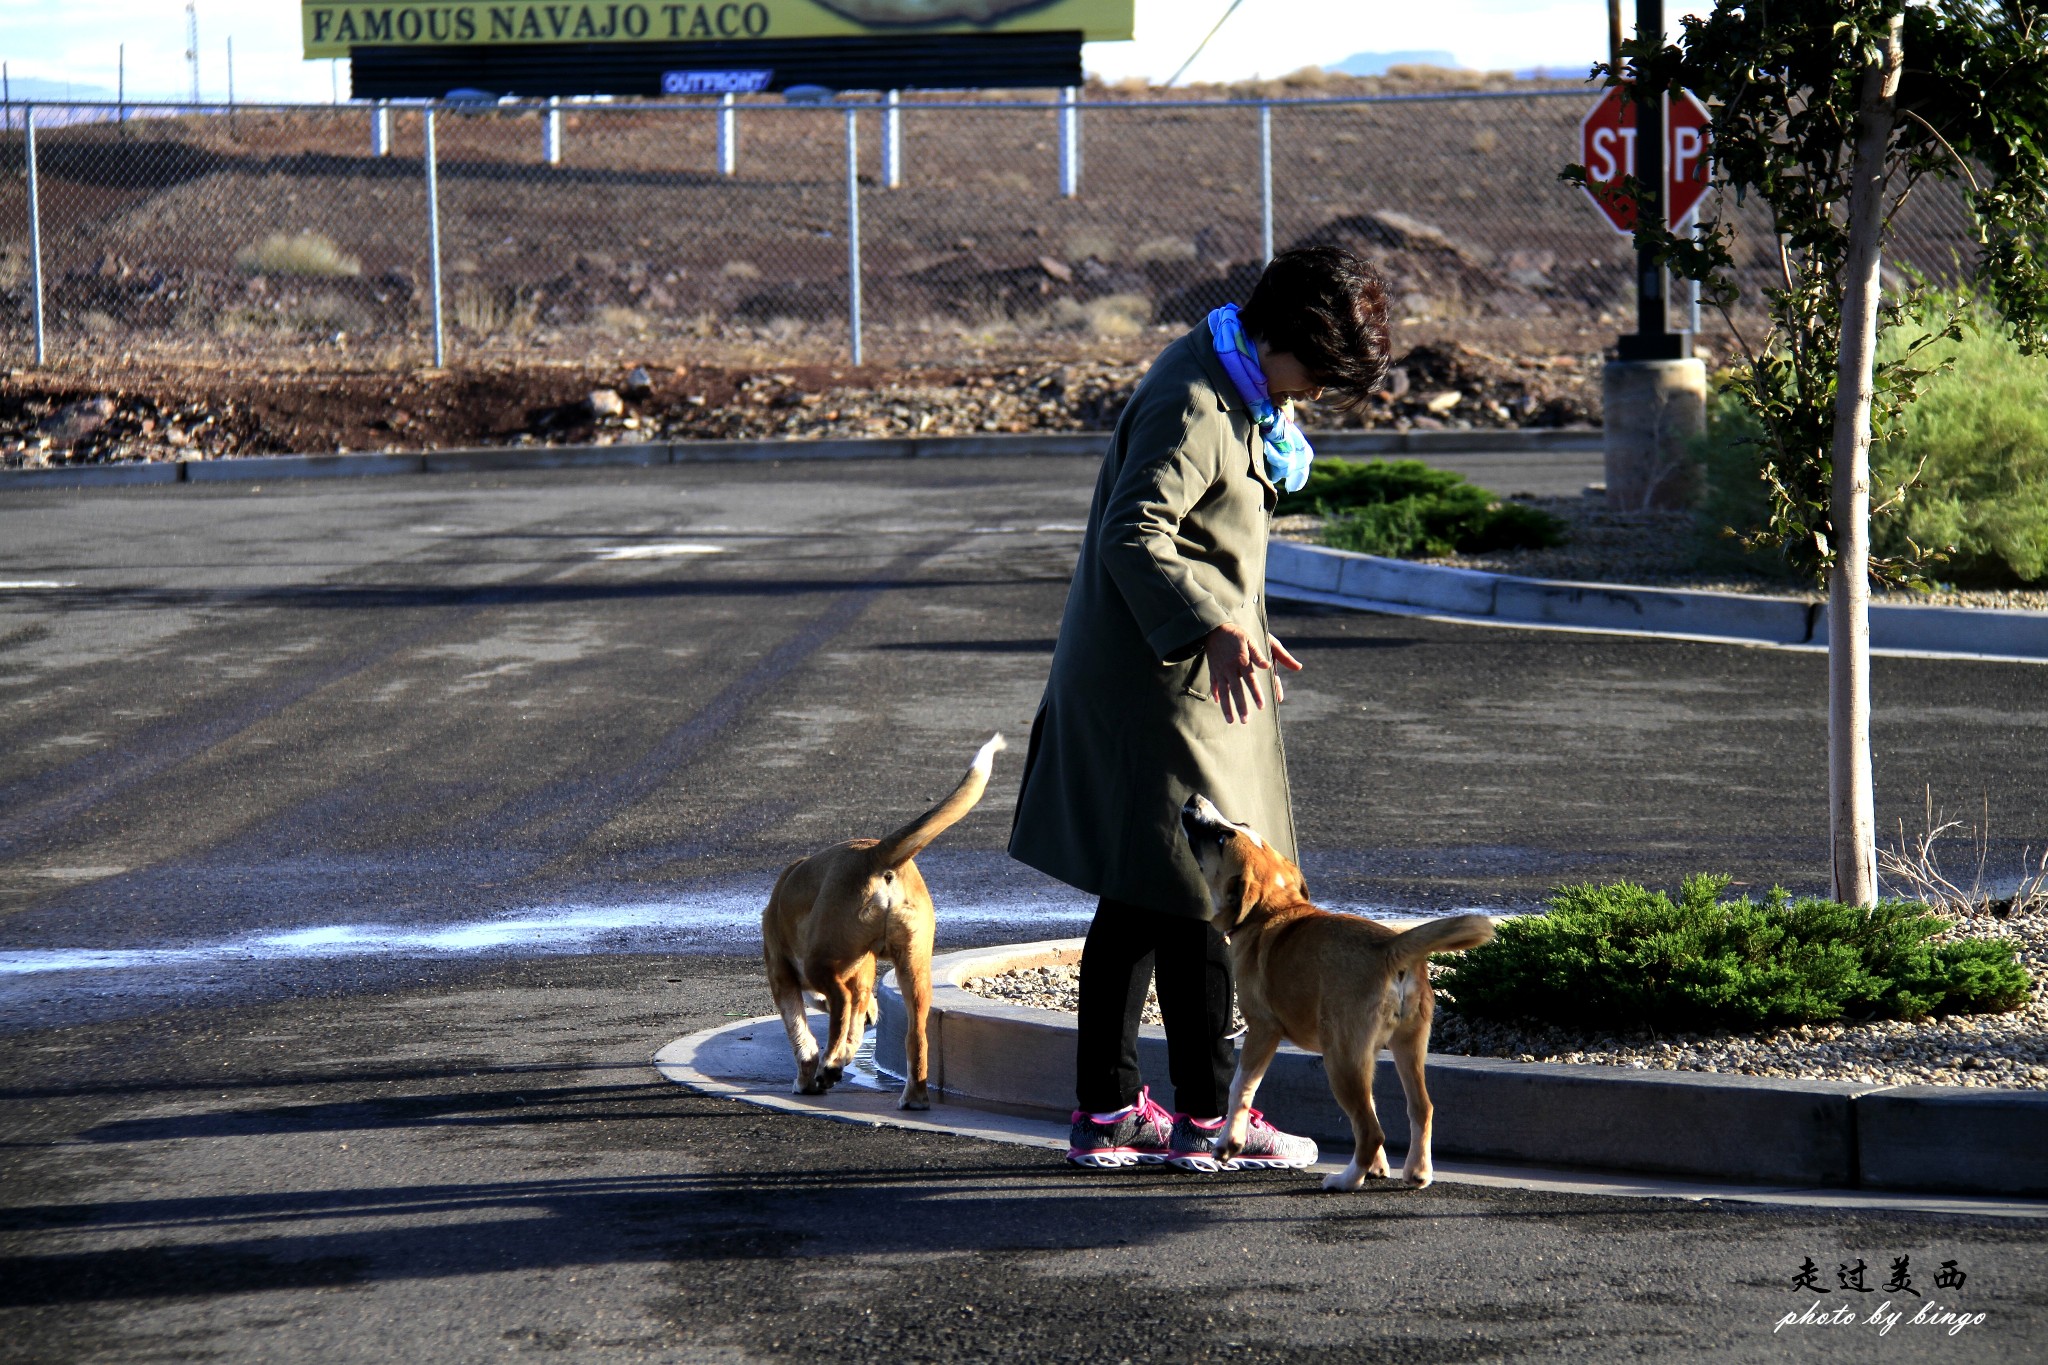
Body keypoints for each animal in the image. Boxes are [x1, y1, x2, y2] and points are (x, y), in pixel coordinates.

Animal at [761, 736, 999, 1113]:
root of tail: (875, 854)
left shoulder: (782, 977)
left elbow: (803, 1036)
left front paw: (808, 1078)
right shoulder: (861, 980)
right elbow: (853, 1023)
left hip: (820, 960)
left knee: (842, 1002)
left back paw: (831, 1066)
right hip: (915, 969)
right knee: (915, 1035)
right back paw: (912, 1096)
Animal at [1179, 794, 1499, 1186]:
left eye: (1223, 837)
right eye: (1240, 825)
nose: (1194, 799)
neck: (1274, 909)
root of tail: (1389, 950)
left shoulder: (1262, 1030)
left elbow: (1241, 1087)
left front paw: (1229, 1142)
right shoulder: (1368, 1055)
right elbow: (1374, 1106)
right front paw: (1379, 1167)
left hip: (1340, 1057)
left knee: (1372, 1129)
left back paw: (1344, 1180)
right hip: (1403, 1045)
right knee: (1418, 1109)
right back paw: (1416, 1170)